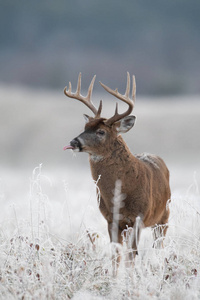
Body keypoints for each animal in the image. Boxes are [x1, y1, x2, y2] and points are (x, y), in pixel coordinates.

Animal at [63, 73, 170, 260]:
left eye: (101, 132)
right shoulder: (110, 219)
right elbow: (116, 254)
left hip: (164, 215)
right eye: (85, 127)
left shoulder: (138, 217)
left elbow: (132, 254)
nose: (74, 142)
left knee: (159, 246)